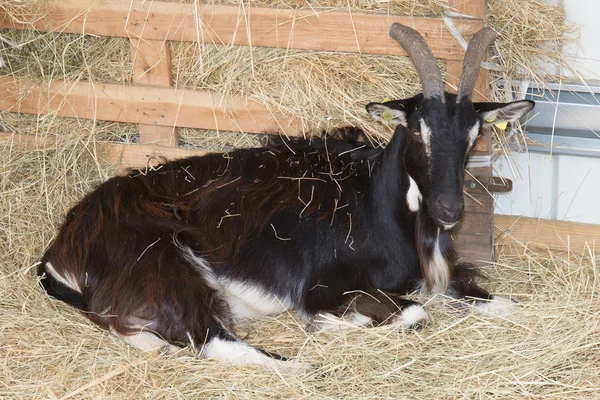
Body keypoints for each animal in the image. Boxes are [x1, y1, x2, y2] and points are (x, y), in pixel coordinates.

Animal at [37, 23, 536, 368]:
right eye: (417, 130)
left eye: (474, 134)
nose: (450, 209)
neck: (378, 203)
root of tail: (62, 244)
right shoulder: (326, 286)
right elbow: (414, 312)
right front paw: (335, 323)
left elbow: (503, 303)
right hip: (164, 261)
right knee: (209, 338)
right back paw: (298, 367)